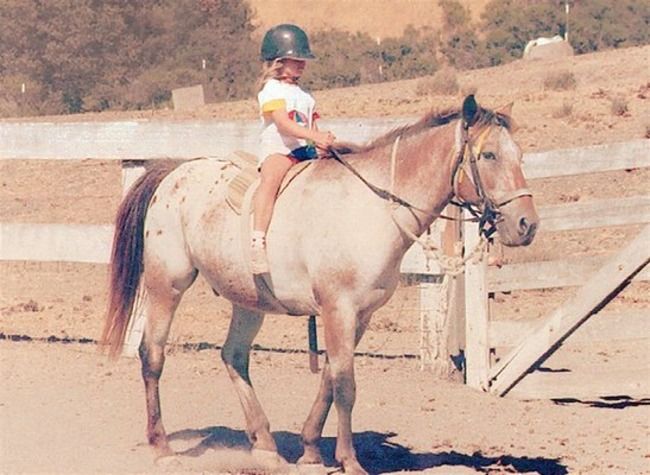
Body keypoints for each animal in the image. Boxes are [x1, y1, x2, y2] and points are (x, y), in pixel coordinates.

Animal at [101, 95, 536, 474]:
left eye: (519, 155)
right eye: (489, 155)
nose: (527, 225)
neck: (373, 207)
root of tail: (173, 172)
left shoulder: (359, 315)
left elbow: (329, 377)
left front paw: (310, 450)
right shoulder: (338, 308)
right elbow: (345, 384)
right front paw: (350, 461)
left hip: (248, 302)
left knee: (234, 357)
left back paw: (265, 446)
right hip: (167, 285)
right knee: (152, 355)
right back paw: (162, 448)